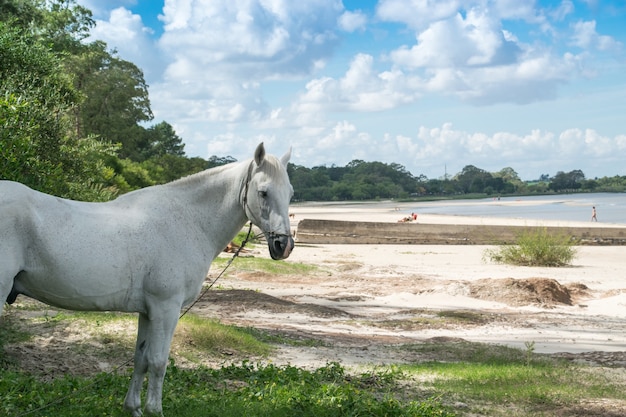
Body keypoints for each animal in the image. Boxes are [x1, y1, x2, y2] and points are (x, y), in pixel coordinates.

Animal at [0, 142, 294, 412]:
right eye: (263, 192)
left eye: (290, 193)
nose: (284, 245)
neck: (187, 220)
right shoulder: (166, 308)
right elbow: (157, 362)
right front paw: (154, 409)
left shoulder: (148, 311)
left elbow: (140, 359)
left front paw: (133, 407)